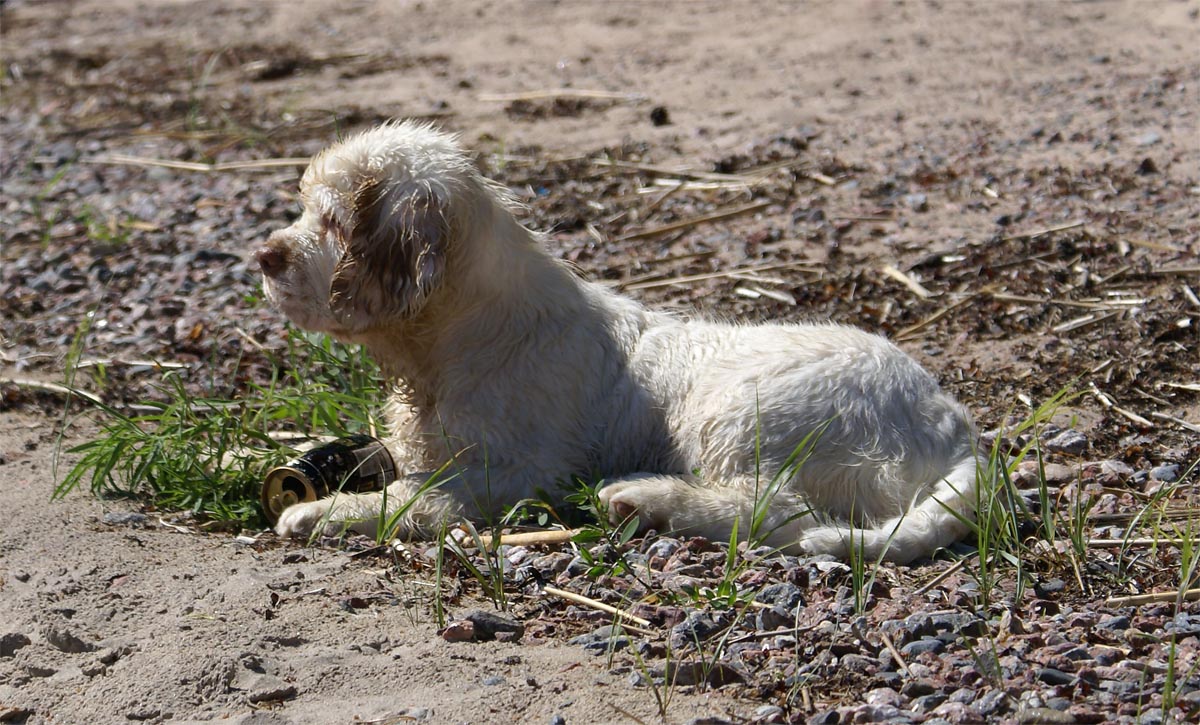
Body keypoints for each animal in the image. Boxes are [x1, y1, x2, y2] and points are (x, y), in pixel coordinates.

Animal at [254, 121, 981, 564]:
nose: (264, 256)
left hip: (740, 410)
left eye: (332, 221)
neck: (456, 339)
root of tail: (950, 423)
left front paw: (320, 512)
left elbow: (425, 494)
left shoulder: (517, 470)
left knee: (780, 510)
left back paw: (648, 498)